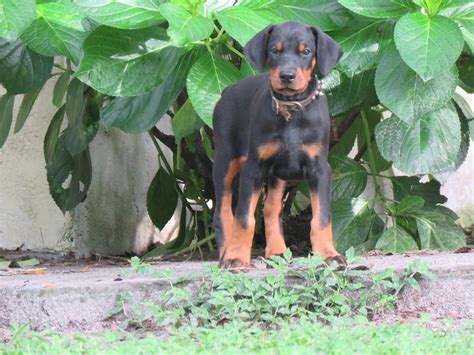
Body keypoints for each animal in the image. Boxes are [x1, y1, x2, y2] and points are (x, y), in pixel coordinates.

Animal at [213, 20, 346, 272]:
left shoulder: (319, 169)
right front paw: (236, 256)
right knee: (222, 212)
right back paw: (226, 251)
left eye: (306, 51)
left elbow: (322, 217)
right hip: (226, 159)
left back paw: (276, 251)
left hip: (277, 174)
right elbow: (244, 218)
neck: (290, 110)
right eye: (275, 50)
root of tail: (226, 91)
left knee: (271, 208)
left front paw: (329, 254)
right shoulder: (253, 168)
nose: (286, 75)